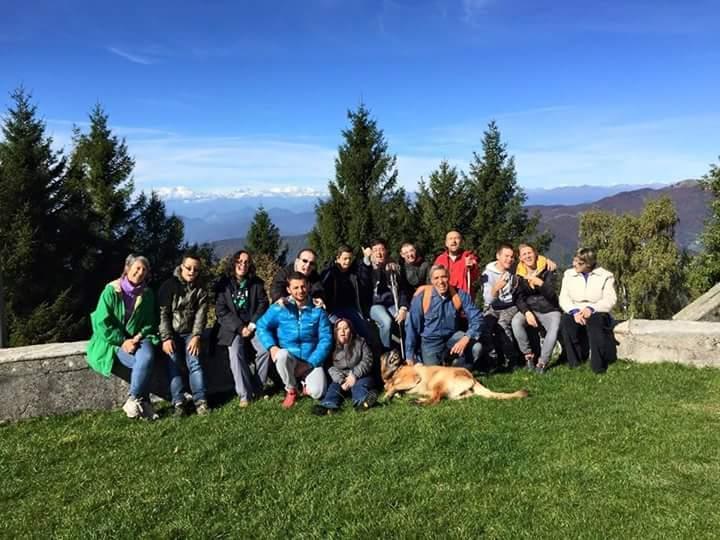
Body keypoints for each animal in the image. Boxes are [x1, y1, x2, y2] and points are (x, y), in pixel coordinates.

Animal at [380, 350, 524, 404]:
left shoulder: (412, 379)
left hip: (437, 381)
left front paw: (387, 396)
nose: (396, 350)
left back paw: (418, 402)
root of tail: (472, 376)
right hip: (454, 393)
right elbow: (394, 389)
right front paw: (394, 394)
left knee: (435, 399)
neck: (396, 371)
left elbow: (394, 386)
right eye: (386, 354)